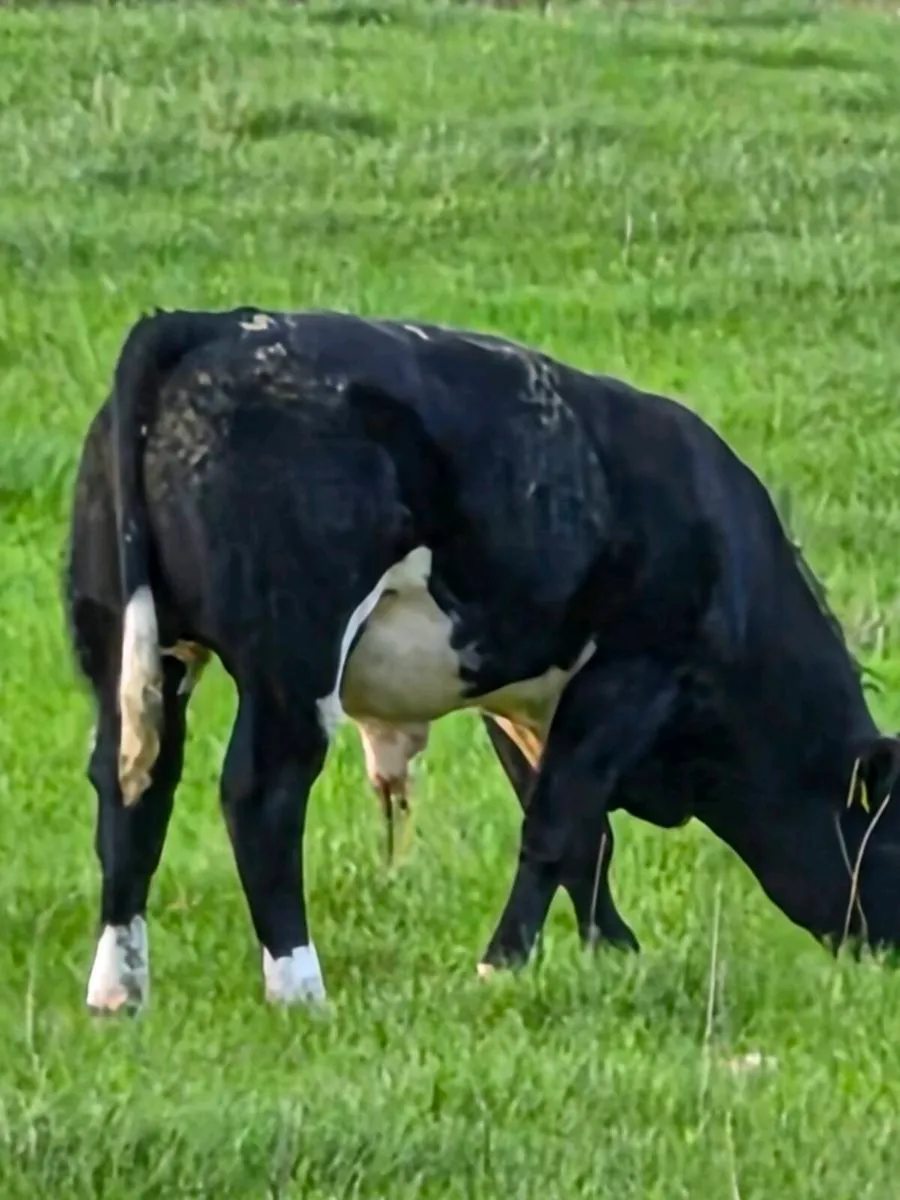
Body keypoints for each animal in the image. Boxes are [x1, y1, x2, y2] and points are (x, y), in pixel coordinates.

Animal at [63, 304, 900, 1015]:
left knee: (132, 788)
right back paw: (300, 988)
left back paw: (118, 992)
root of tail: (210, 323)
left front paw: (612, 951)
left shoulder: (524, 696)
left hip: (133, 643)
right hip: (291, 664)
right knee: (259, 797)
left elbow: (581, 831)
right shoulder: (633, 674)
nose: (887, 955)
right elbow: (558, 825)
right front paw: (504, 963)